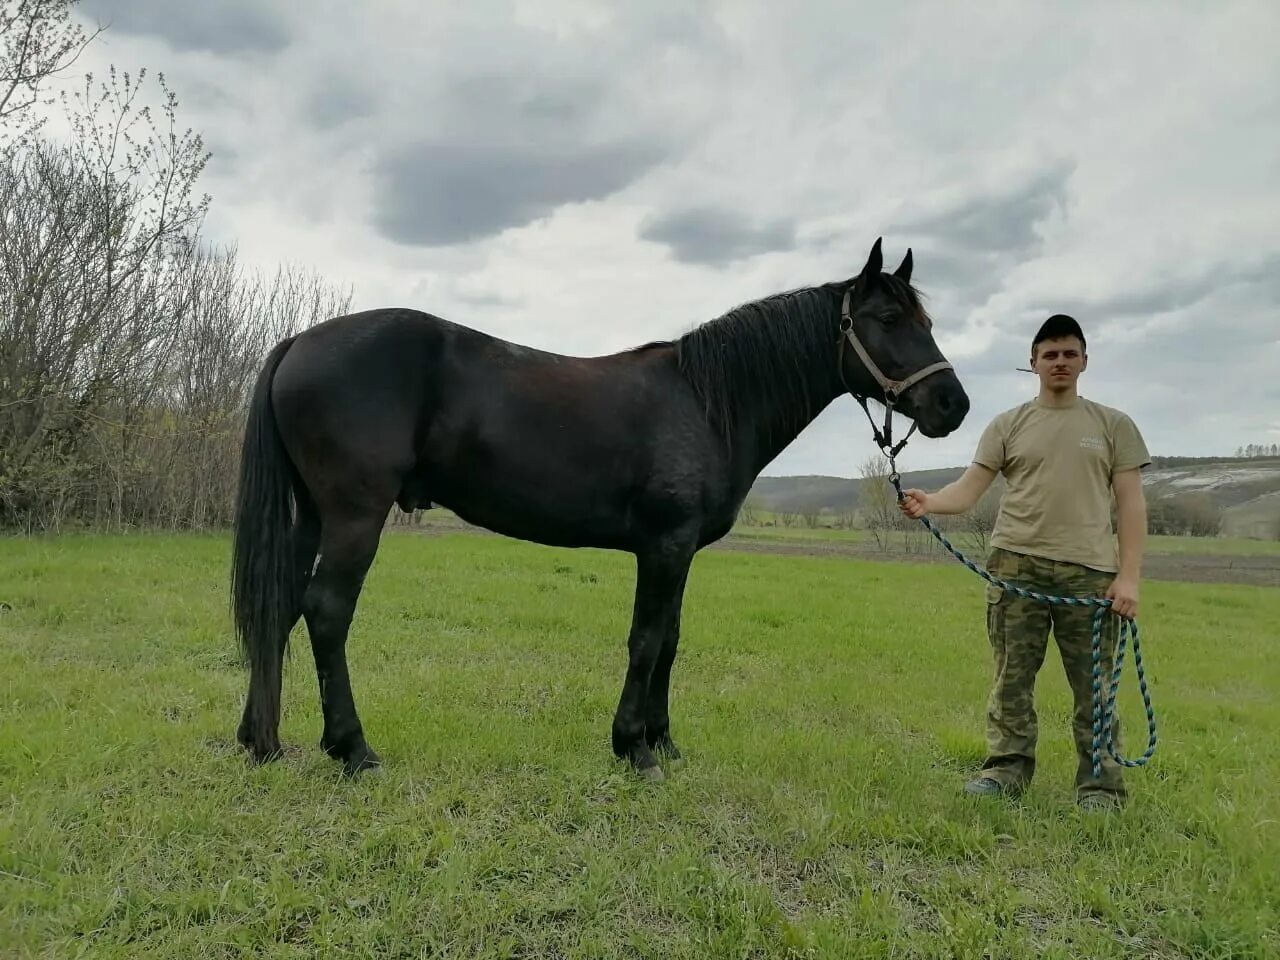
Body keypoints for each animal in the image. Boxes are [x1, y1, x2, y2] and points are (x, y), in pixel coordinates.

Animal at [230, 240, 967, 783]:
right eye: (889, 321)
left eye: (926, 322)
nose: (952, 405)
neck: (705, 403)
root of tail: (299, 342)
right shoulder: (664, 545)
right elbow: (646, 639)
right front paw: (634, 748)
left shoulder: (681, 551)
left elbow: (670, 640)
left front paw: (664, 741)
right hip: (355, 516)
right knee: (327, 611)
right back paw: (352, 749)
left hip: (312, 515)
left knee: (280, 606)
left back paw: (262, 741)